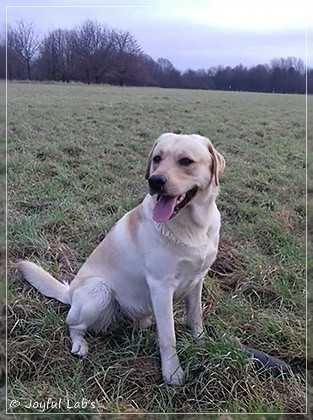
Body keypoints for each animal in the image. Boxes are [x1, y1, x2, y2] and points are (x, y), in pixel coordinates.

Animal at [17, 133, 224, 386]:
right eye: (157, 158)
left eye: (186, 161)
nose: (155, 181)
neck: (194, 227)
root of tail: (70, 292)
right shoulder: (161, 286)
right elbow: (169, 336)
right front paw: (172, 372)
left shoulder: (197, 280)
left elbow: (195, 318)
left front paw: (203, 344)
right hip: (99, 290)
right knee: (72, 324)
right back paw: (80, 344)